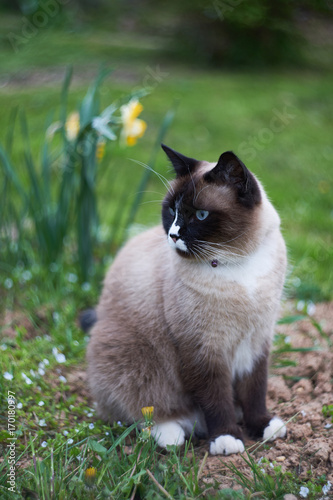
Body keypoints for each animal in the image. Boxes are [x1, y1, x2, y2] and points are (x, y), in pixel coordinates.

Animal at [84, 143, 286, 456]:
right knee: (147, 412)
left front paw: (262, 427)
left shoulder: (256, 341)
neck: (236, 265)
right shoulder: (203, 349)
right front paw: (227, 439)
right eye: (172, 211)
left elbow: (255, 390)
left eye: (200, 215)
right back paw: (173, 435)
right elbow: (215, 399)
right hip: (130, 356)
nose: (173, 235)